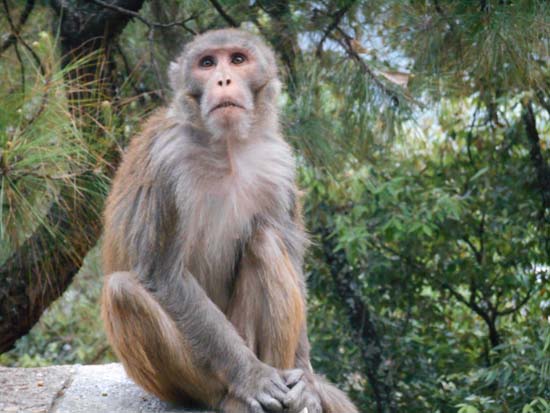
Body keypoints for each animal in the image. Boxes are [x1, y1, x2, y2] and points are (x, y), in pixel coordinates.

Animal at [101, 29, 360, 412]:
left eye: (238, 60)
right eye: (207, 63)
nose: (223, 79)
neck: (227, 149)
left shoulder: (280, 164)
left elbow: (291, 257)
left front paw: (308, 383)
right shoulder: (167, 162)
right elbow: (164, 275)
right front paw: (252, 377)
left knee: (266, 241)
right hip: (189, 379)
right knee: (123, 291)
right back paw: (235, 395)